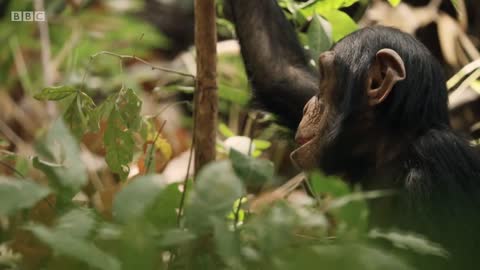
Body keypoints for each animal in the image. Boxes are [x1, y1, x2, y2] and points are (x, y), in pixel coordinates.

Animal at [226, 0, 480, 268]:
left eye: (325, 78)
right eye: (318, 81)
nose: (308, 106)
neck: (390, 147)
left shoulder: (439, 155)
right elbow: (279, 70)